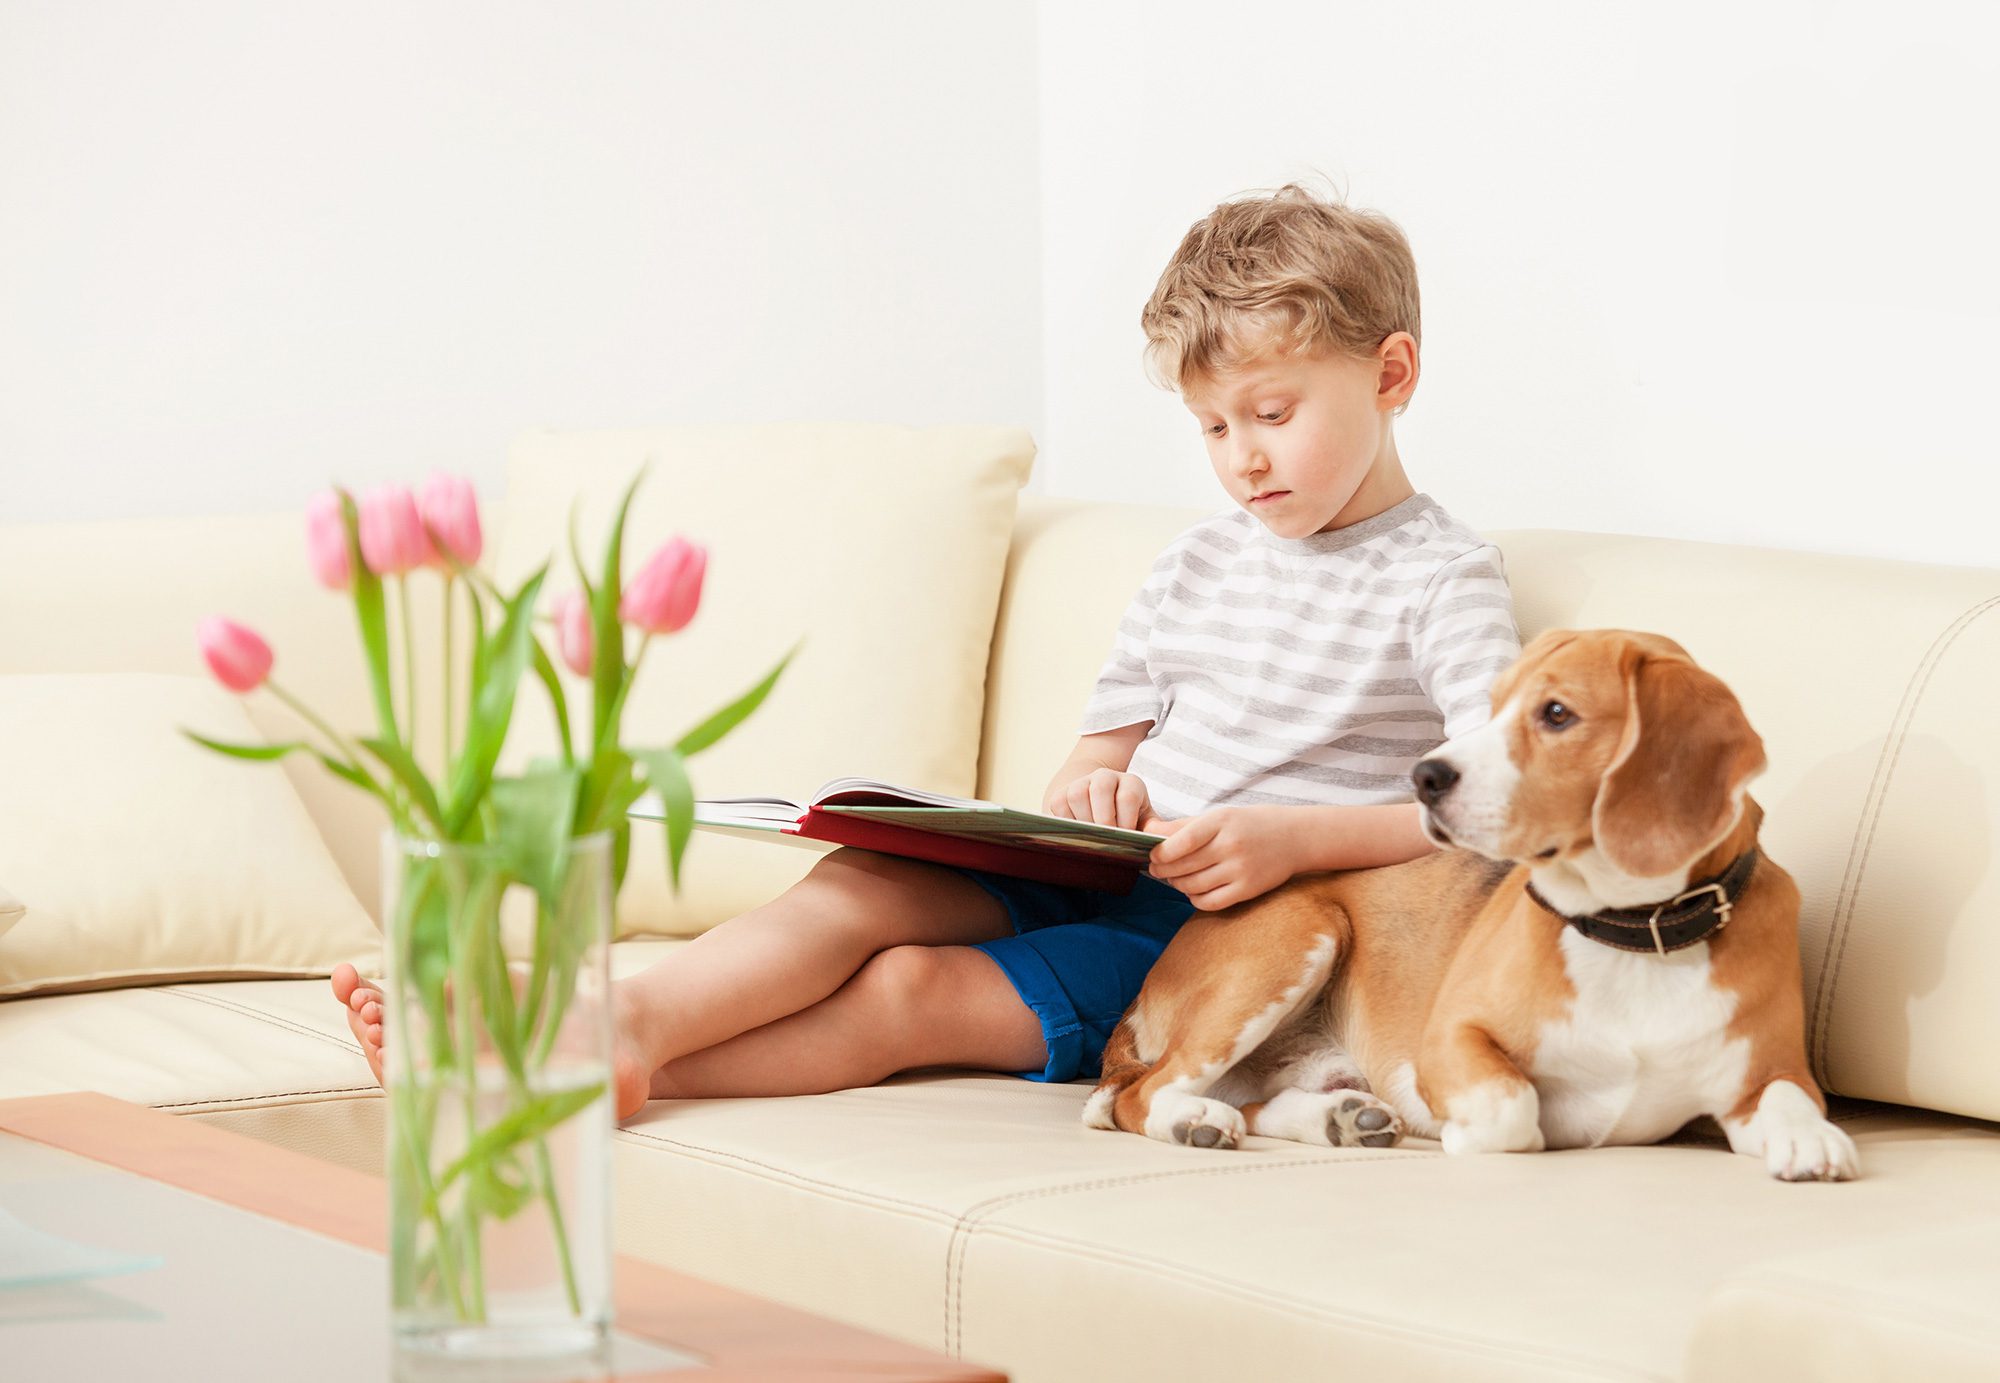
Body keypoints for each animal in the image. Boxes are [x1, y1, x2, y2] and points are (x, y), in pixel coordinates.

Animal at [1080, 631, 1856, 1183]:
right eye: (1494, 704)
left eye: (1556, 714)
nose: (1424, 775)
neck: (1637, 931)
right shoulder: (1451, 1040)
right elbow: (1515, 1112)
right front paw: (1467, 1128)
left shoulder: (1765, 1077)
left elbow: (1792, 1097)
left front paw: (1813, 1138)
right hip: (1294, 937)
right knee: (1133, 1097)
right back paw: (1194, 1121)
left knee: (1242, 1099)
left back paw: (1340, 1120)